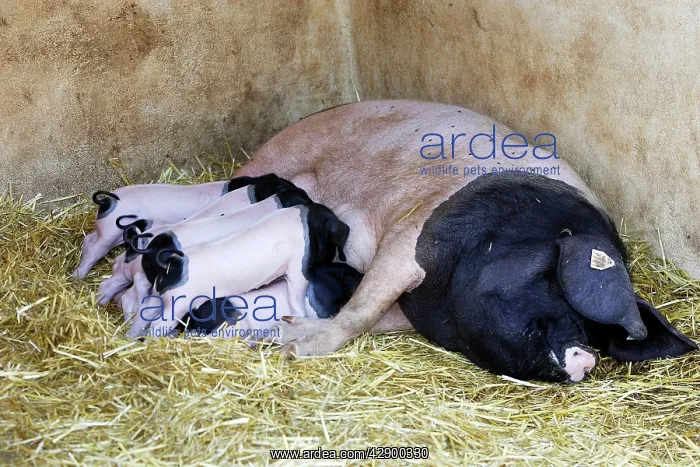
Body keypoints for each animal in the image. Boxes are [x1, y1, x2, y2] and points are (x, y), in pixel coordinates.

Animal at [73, 173, 296, 279]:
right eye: (281, 185)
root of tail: (108, 202)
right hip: (110, 233)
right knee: (95, 250)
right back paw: (77, 276)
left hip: (105, 230)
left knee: (89, 240)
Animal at [125, 203, 350, 339]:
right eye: (330, 244)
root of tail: (175, 264)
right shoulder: (297, 266)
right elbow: (296, 300)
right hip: (178, 303)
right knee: (157, 325)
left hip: (161, 294)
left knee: (146, 312)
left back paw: (130, 337)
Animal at [229, 100, 696, 381]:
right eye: (555, 283)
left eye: (600, 333)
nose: (586, 356)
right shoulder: (410, 239)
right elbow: (362, 309)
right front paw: (293, 347)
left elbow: (373, 316)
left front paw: (284, 333)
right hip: (277, 156)